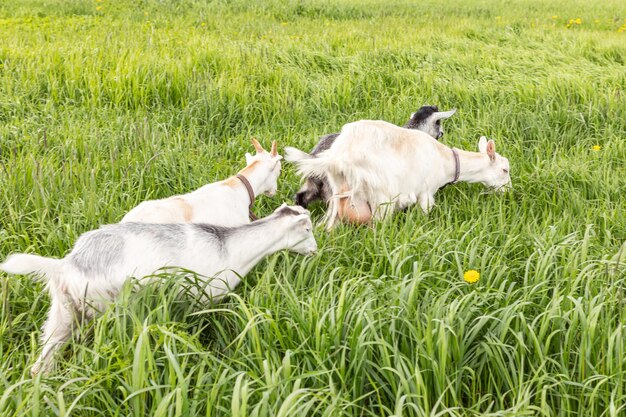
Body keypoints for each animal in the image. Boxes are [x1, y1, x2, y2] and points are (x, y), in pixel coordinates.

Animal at [1, 204, 316, 374]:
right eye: (308, 229)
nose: (315, 250)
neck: (230, 248)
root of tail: (68, 264)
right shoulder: (202, 298)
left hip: (63, 313)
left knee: (42, 361)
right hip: (105, 308)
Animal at [286, 120, 510, 229]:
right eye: (505, 170)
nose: (507, 191)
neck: (447, 161)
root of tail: (339, 155)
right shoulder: (425, 192)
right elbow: (425, 213)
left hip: (337, 193)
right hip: (381, 196)